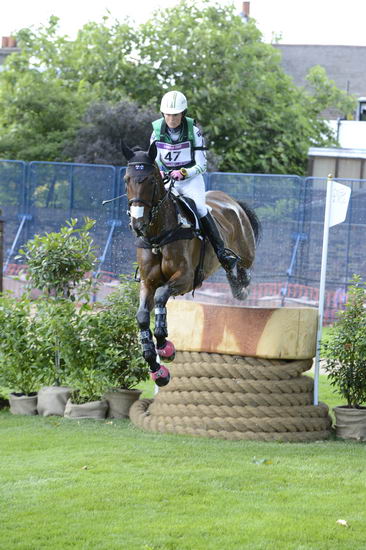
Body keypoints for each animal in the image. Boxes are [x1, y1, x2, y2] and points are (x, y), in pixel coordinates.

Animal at [123, 142, 260, 388]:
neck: (158, 237)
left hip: (247, 251)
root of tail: (232, 202)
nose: (137, 224)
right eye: (126, 179)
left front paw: (165, 345)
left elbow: (161, 296)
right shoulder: (148, 282)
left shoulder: (185, 278)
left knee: (242, 270)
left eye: (150, 180)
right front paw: (157, 369)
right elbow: (142, 316)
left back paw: (239, 283)